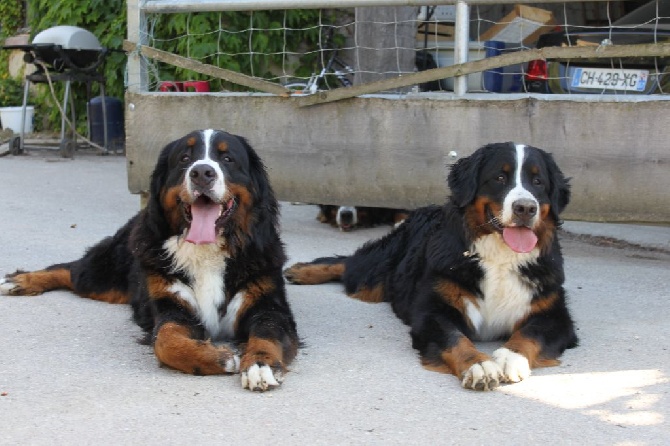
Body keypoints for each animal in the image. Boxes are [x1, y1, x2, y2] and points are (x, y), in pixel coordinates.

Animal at [0, 128, 300, 390]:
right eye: (184, 158)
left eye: (227, 159)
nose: (202, 172)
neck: (207, 251)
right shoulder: (172, 306)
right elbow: (165, 341)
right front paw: (219, 358)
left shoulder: (268, 306)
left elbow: (266, 334)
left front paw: (260, 365)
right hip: (102, 276)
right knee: (69, 269)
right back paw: (20, 281)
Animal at [284, 142, 576, 390]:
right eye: (500, 178)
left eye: (538, 182)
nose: (525, 208)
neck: (501, 258)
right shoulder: (433, 311)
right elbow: (455, 338)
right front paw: (479, 365)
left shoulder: (554, 315)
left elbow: (530, 333)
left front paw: (509, 357)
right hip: (372, 276)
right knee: (348, 264)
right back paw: (299, 271)